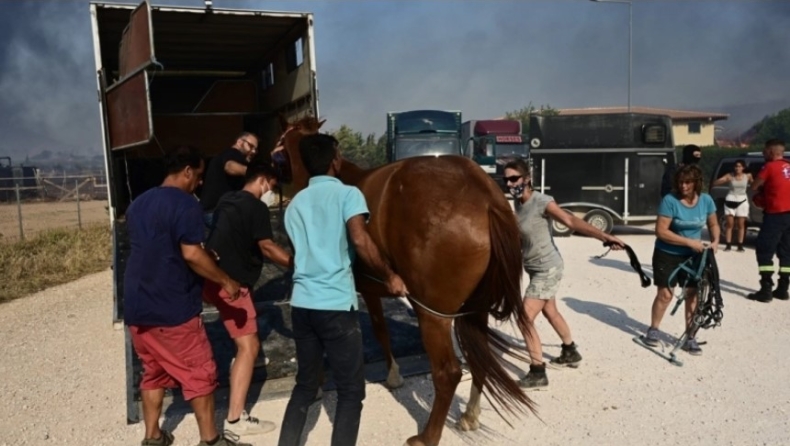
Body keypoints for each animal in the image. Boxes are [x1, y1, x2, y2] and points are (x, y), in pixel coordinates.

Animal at [278, 116, 540, 446]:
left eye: (280, 144)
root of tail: (485, 198)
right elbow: (379, 331)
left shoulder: (365, 293)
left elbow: (374, 332)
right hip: (475, 310)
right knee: (479, 360)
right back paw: (469, 416)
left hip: (433, 315)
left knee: (448, 373)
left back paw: (427, 436)